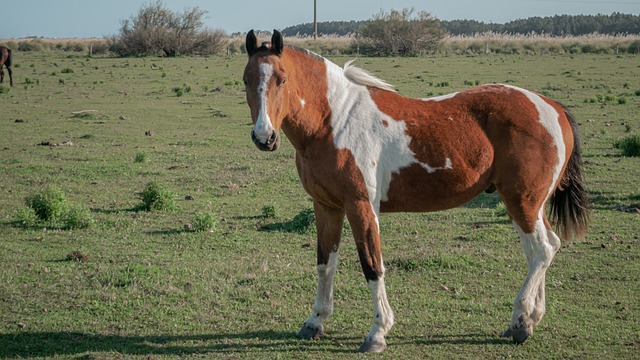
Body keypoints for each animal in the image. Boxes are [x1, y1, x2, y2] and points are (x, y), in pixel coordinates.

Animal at [242, 29, 588, 352]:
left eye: (282, 80)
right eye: (246, 80)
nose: (264, 137)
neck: (334, 121)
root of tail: (552, 107)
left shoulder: (361, 206)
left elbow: (372, 265)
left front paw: (377, 333)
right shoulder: (326, 206)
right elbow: (325, 264)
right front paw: (314, 322)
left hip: (521, 201)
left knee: (542, 250)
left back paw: (520, 321)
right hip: (529, 205)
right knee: (542, 249)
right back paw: (530, 319)